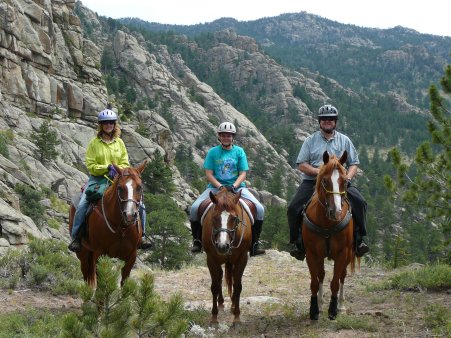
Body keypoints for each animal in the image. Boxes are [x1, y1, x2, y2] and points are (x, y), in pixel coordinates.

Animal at [202, 189, 254, 324]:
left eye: (234, 218)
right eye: (214, 217)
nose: (222, 246)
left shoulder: (242, 258)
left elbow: (238, 286)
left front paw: (236, 316)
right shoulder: (211, 259)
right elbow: (214, 286)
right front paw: (214, 317)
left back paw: (232, 304)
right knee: (220, 276)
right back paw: (220, 303)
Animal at [302, 152, 358, 320]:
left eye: (345, 181)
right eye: (325, 181)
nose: (336, 212)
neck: (327, 223)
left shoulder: (342, 253)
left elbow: (335, 282)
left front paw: (332, 310)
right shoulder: (311, 253)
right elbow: (315, 281)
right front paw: (314, 309)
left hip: (348, 254)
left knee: (342, 277)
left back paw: (341, 306)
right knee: (321, 275)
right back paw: (320, 304)